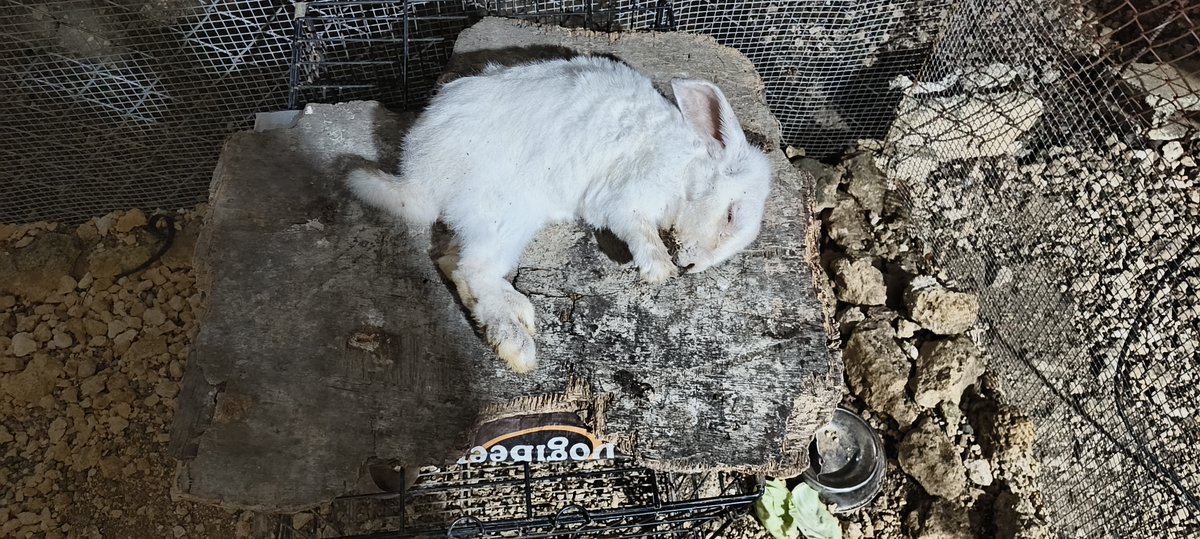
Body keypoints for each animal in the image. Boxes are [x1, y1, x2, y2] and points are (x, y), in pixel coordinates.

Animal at [348, 54, 773, 374]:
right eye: (731, 215)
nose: (689, 266)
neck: (686, 165)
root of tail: (421, 178)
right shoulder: (628, 197)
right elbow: (639, 230)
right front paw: (659, 270)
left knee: (453, 263)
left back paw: (516, 314)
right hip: (507, 218)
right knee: (472, 270)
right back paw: (517, 347)